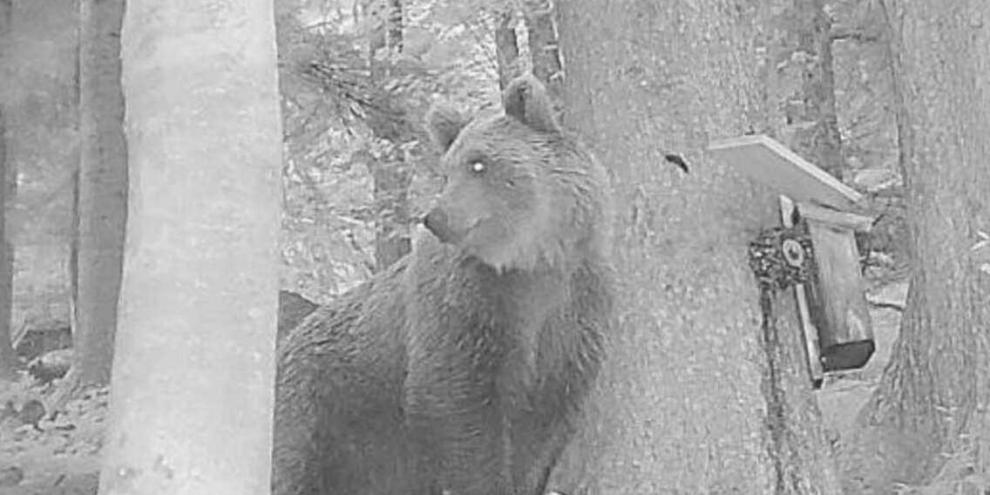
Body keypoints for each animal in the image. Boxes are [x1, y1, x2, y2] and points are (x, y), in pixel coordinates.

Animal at [272, 74, 615, 495]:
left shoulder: (573, 317)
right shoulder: (468, 308)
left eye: (479, 163)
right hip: (324, 414)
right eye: (447, 171)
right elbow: (458, 406)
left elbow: (542, 432)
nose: (435, 216)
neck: (531, 263)